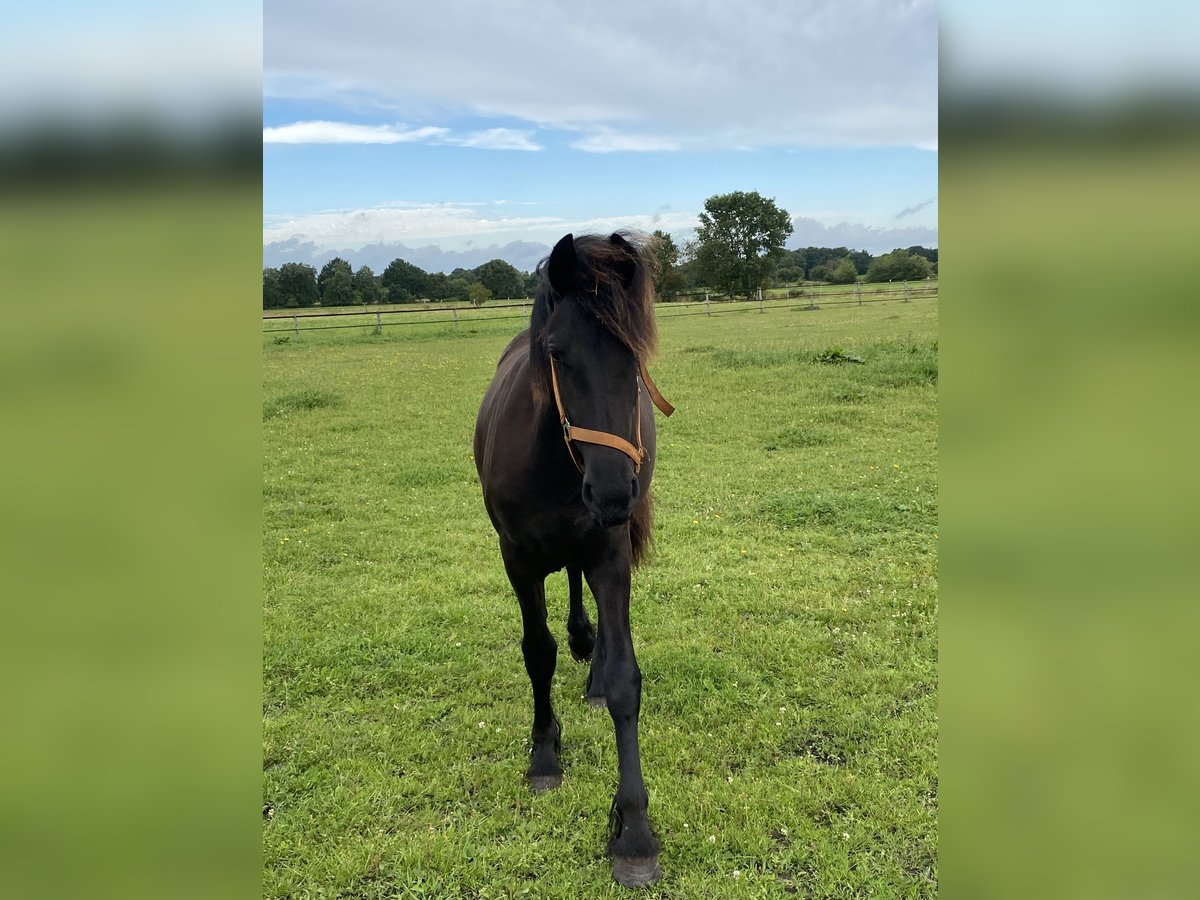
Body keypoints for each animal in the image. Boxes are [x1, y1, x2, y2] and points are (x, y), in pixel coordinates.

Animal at [470, 230, 676, 888]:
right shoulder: (517, 557)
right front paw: (543, 754)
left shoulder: (609, 552)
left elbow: (626, 682)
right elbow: (537, 652)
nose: (612, 493)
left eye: (635, 357)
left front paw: (633, 831)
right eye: (558, 353)